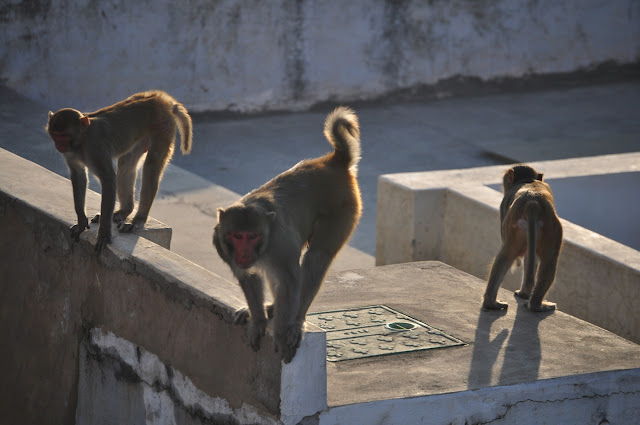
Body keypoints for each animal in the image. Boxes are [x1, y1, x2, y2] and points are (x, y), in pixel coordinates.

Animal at [45, 90, 192, 252]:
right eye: (55, 135)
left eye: (63, 136)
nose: (59, 146)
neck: (81, 140)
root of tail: (163, 98)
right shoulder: (71, 154)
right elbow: (78, 175)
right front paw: (82, 221)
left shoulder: (95, 148)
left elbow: (108, 179)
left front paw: (103, 233)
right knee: (127, 164)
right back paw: (124, 211)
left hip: (163, 125)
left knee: (151, 166)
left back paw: (137, 220)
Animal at [214, 106, 362, 362]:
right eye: (237, 236)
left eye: (252, 237)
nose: (244, 253)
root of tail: (332, 160)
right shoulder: (222, 245)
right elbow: (249, 277)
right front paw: (259, 319)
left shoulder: (279, 243)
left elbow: (290, 279)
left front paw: (283, 331)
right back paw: (271, 308)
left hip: (343, 207)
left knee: (317, 256)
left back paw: (296, 319)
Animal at [482, 163, 564, 312]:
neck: (528, 181)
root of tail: (533, 202)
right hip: (553, 229)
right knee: (550, 260)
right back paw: (536, 304)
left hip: (521, 228)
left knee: (505, 256)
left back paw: (491, 303)